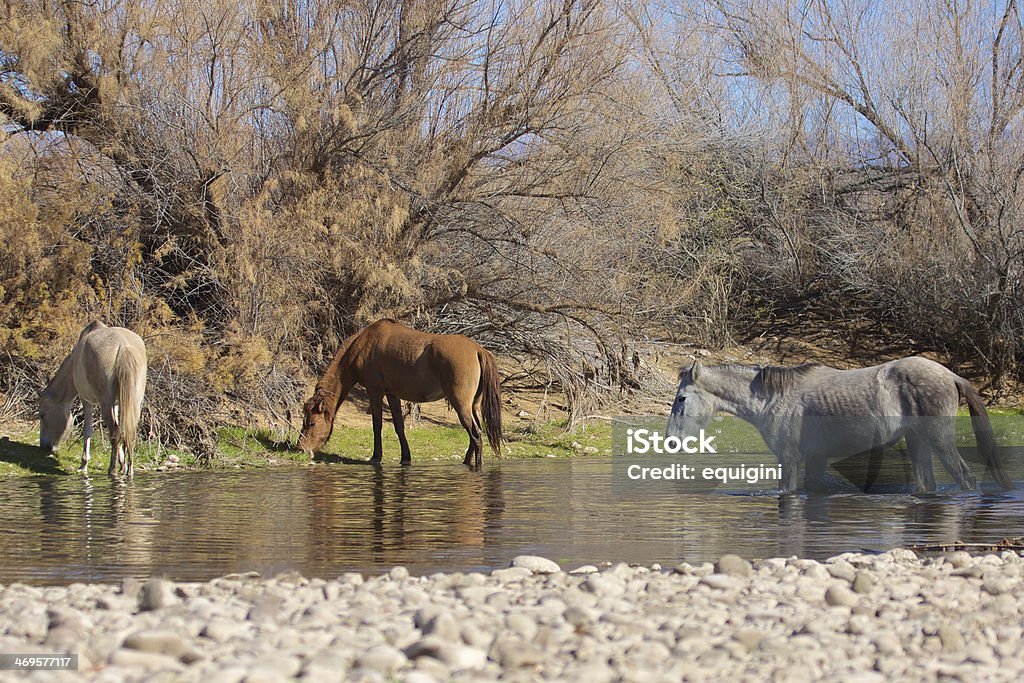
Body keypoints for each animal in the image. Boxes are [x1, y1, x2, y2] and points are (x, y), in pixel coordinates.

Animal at [39, 321, 147, 475]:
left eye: (42, 415)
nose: (44, 446)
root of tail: (123, 347)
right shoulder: (116, 404)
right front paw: (122, 464)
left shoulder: (86, 400)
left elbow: (87, 430)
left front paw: (83, 464)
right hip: (134, 404)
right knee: (128, 433)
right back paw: (129, 471)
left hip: (105, 404)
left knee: (114, 433)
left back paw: (112, 469)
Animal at [296, 319, 503, 466]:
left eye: (312, 423)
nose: (300, 449)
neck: (362, 344)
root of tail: (478, 349)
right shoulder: (392, 394)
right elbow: (399, 426)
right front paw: (405, 457)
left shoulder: (375, 390)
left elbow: (377, 425)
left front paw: (376, 457)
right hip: (472, 405)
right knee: (475, 433)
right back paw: (466, 461)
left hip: (461, 404)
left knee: (476, 434)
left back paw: (477, 464)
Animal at [667, 356, 1011, 493]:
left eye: (682, 398)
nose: (670, 440)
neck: (773, 398)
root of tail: (951, 376)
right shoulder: (816, 460)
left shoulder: (789, 459)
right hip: (918, 442)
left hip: (940, 440)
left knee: (967, 479)